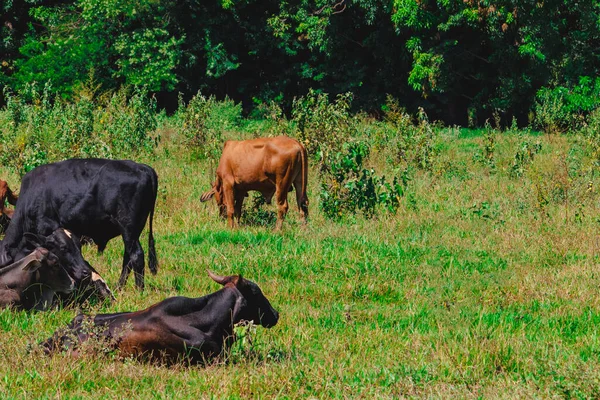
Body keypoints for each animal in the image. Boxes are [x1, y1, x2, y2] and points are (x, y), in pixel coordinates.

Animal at [0, 158, 159, 290]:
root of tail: (143, 168)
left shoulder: (45, 229)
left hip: (128, 229)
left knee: (137, 256)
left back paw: (139, 290)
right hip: (132, 232)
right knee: (128, 258)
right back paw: (119, 287)